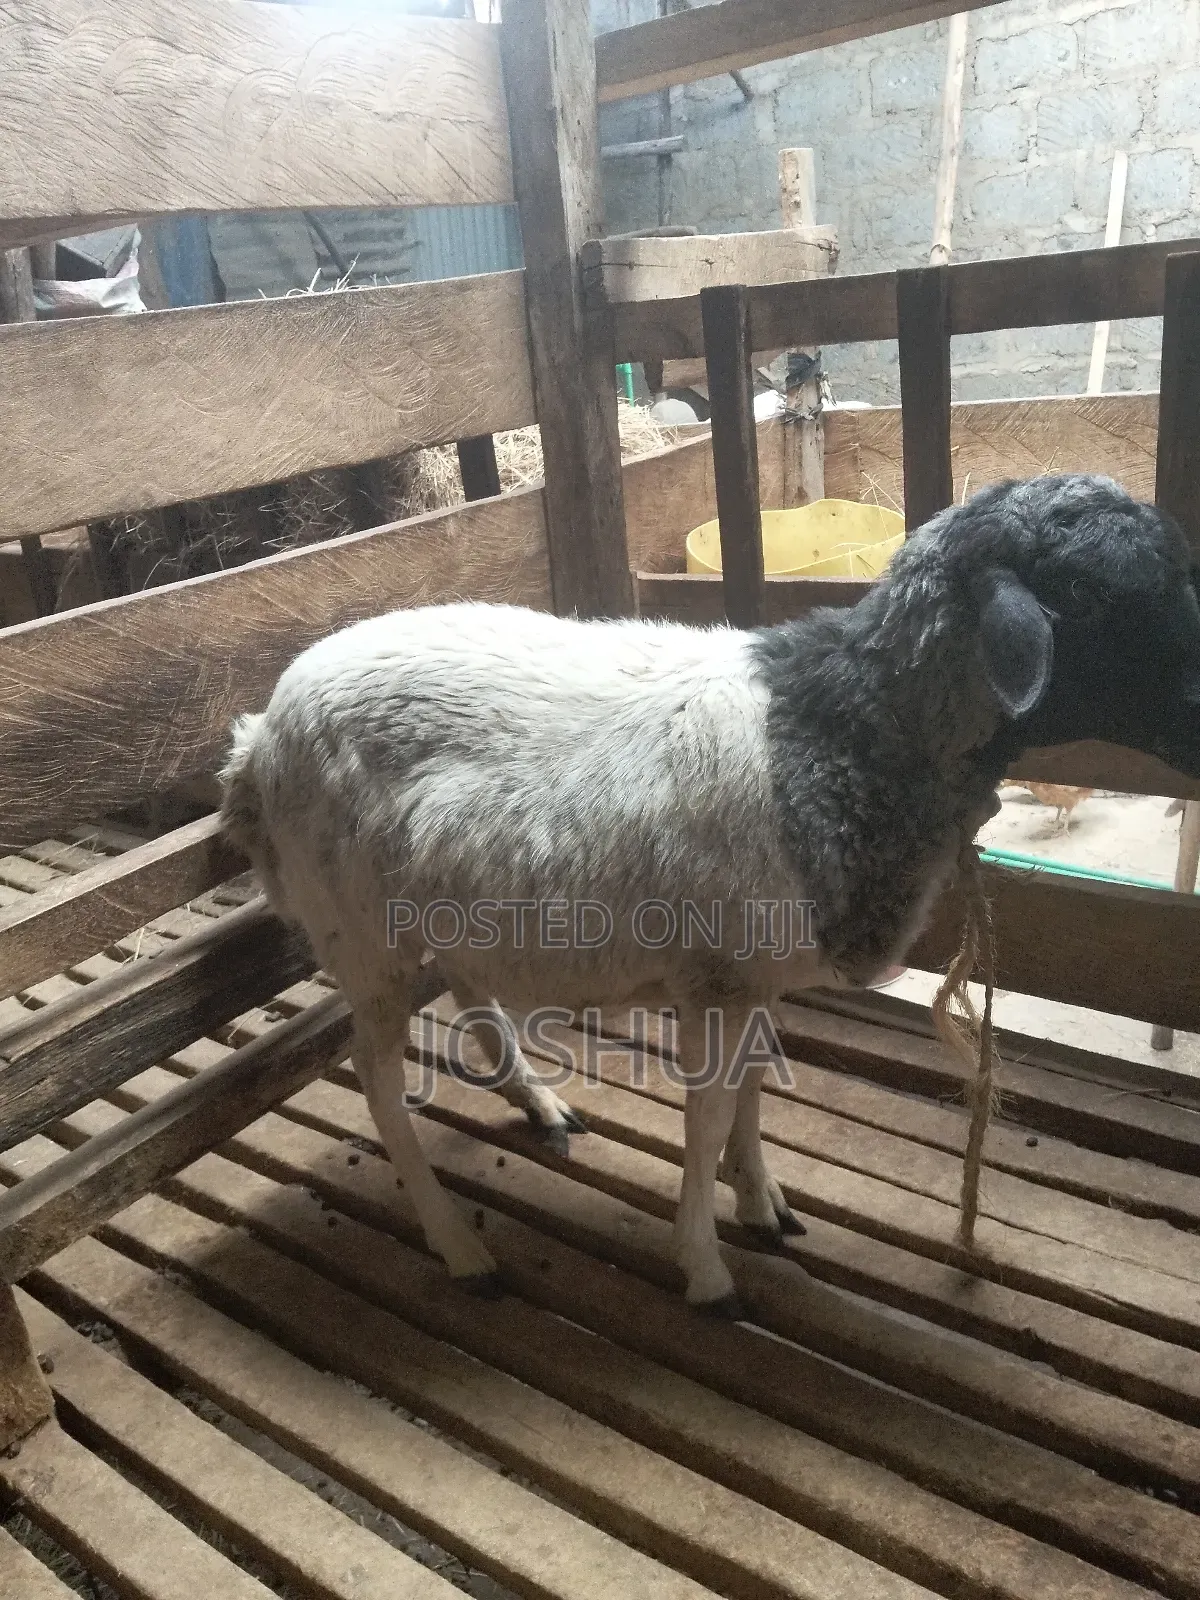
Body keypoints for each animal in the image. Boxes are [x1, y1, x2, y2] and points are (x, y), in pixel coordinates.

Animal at [219, 473, 1200, 1313]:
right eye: (1104, 596)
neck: (842, 732)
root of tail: (258, 736)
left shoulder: (749, 976)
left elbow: (754, 1087)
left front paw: (761, 1199)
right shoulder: (716, 981)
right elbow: (709, 1113)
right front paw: (705, 1268)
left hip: (438, 909)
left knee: (469, 987)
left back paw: (538, 1103)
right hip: (363, 938)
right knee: (378, 1082)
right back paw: (460, 1247)